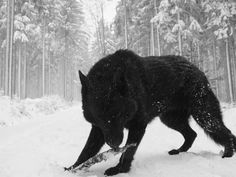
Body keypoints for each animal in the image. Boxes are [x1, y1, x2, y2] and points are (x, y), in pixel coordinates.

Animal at [65, 49, 236, 176]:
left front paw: (120, 170)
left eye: (118, 114)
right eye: (100, 117)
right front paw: (73, 168)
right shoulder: (99, 130)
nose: (114, 144)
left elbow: (127, 152)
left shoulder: (137, 127)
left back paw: (228, 154)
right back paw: (179, 151)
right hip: (171, 120)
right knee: (191, 134)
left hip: (205, 117)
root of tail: (197, 69)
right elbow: (86, 150)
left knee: (227, 133)